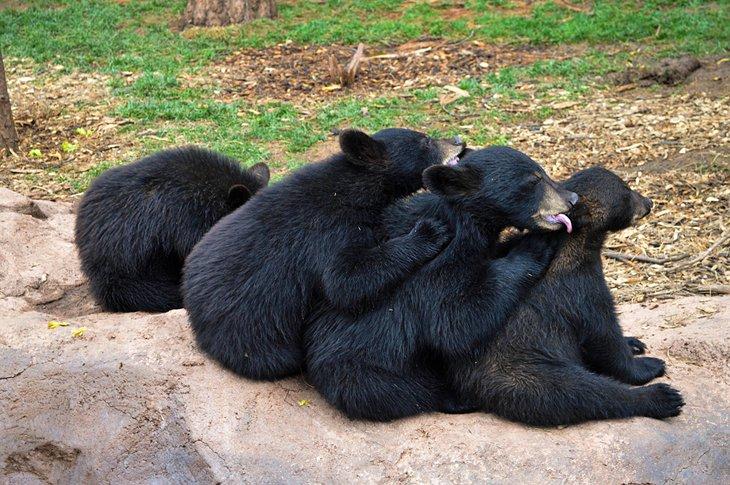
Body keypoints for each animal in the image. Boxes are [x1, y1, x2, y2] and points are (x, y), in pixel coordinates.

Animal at [182, 128, 467, 381]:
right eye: (426, 141)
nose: (458, 140)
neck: (357, 188)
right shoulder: (332, 231)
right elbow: (345, 280)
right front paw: (430, 231)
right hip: (251, 329)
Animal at [304, 146, 579, 421]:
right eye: (533, 181)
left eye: (542, 171)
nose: (573, 198)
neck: (465, 222)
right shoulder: (442, 259)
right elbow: (453, 320)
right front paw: (534, 245)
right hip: (366, 370)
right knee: (404, 391)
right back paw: (457, 398)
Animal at [448, 166, 685, 426]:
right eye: (625, 191)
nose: (648, 202)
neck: (577, 241)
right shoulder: (580, 286)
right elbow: (603, 333)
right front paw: (647, 364)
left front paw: (634, 342)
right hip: (523, 372)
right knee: (578, 391)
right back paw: (662, 397)